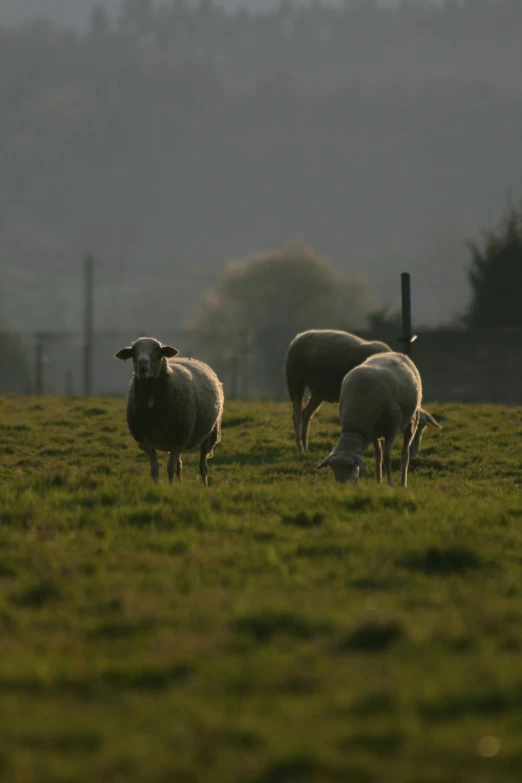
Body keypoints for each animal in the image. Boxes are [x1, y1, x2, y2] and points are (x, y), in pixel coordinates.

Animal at [115, 336, 222, 486]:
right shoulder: (145, 439)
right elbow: (155, 469)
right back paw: (180, 483)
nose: (142, 363)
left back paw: (204, 484)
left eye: (157, 351)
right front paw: (158, 487)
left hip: (210, 432)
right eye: (134, 352)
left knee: (202, 465)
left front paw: (170, 487)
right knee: (180, 465)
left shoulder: (178, 437)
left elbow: (170, 469)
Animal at [310, 352, 420, 486]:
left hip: (412, 421)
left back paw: (403, 483)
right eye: (332, 467)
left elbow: (387, 457)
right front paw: (379, 482)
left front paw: (390, 483)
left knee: (405, 453)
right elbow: (378, 456)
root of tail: (394, 353)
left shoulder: (391, 430)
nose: (341, 487)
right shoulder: (373, 431)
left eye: (351, 467)